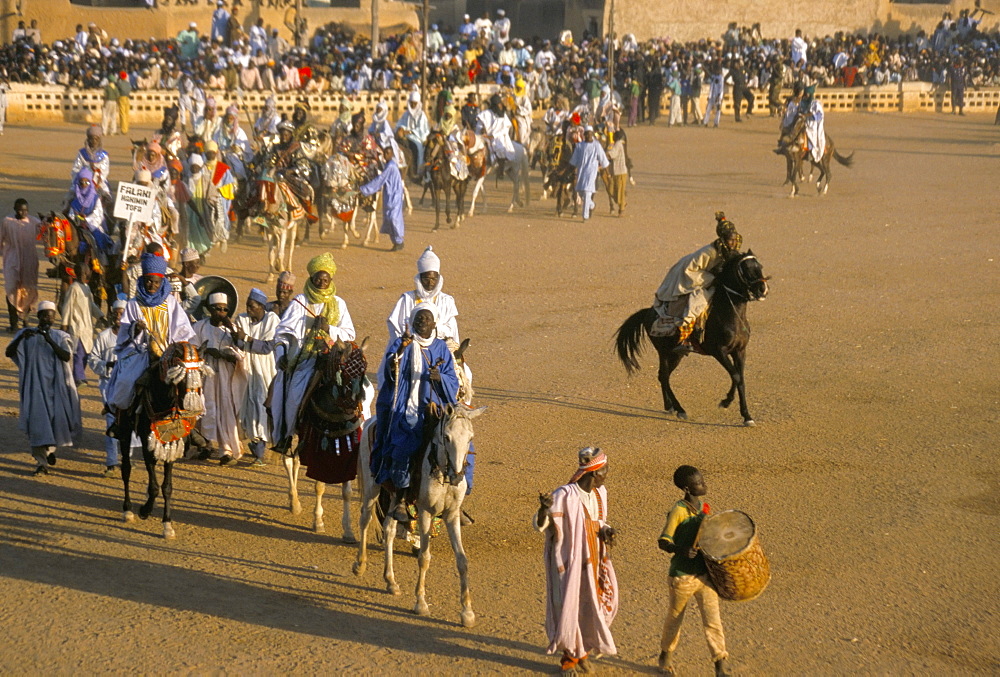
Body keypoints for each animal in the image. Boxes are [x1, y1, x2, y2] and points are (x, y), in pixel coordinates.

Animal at [115, 344, 209, 540]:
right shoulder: (146, 442)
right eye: (181, 378)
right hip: (125, 431)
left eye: (201, 374)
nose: (191, 409)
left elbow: (167, 487)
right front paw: (145, 510)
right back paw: (127, 510)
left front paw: (167, 523)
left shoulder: (173, 443)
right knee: (126, 469)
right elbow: (154, 486)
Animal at [282, 336, 372, 540]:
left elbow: (347, 492)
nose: (354, 408)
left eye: (364, 368)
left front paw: (348, 530)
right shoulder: (318, 454)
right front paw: (318, 521)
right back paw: (294, 502)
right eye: (344, 370)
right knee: (288, 461)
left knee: (296, 461)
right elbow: (319, 487)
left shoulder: (347, 454)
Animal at [354, 402, 486, 628]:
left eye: (470, 437)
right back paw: (360, 565)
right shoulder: (425, 512)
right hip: (372, 486)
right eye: (447, 437)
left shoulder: (451, 515)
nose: (457, 476)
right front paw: (421, 603)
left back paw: (391, 581)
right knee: (365, 520)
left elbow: (462, 560)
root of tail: (371, 421)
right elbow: (424, 557)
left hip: (394, 496)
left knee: (389, 530)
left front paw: (467, 613)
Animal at [612, 251, 768, 426]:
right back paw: (680, 410)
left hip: (676, 354)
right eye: (746, 268)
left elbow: (740, 378)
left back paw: (669, 406)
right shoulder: (719, 351)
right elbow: (735, 375)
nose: (763, 289)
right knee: (664, 376)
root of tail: (648, 312)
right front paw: (726, 402)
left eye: (760, 266)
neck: (731, 315)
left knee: (663, 376)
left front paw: (746, 415)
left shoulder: (740, 351)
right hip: (665, 352)